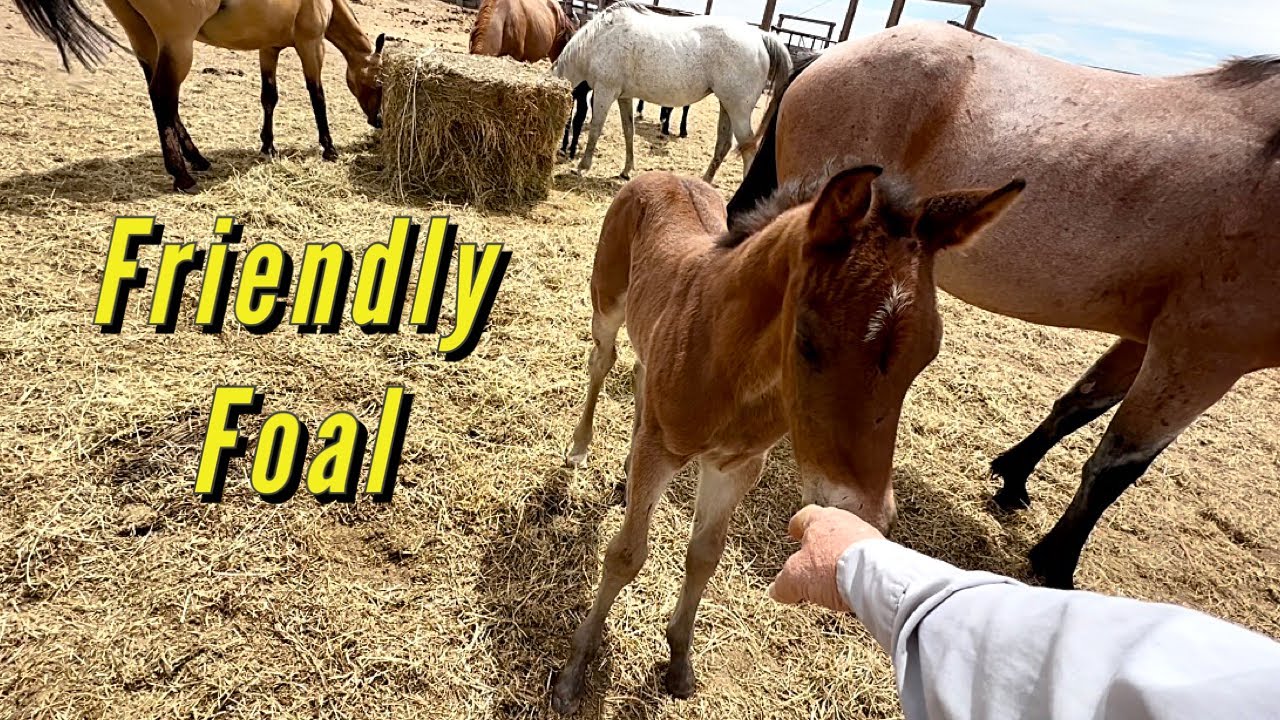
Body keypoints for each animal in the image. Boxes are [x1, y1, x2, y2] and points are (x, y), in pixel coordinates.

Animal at [16, 0, 385, 192]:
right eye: (381, 83)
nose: (379, 120)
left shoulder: (269, 48)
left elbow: (269, 96)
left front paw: (268, 146)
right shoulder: (311, 44)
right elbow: (316, 95)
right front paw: (329, 148)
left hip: (143, 36)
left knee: (160, 99)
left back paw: (197, 158)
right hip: (178, 42)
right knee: (163, 96)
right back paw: (182, 174)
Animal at [552, 1, 791, 181]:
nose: (559, 151)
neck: (598, 40)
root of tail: (760, 37)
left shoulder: (604, 91)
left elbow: (595, 129)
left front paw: (582, 166)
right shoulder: (624, 97)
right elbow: (628, 132)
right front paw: (627, 170)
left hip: (738, 111)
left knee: (748, 149)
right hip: (727, 106)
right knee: (723, 145)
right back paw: (705, 181)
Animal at [553, 165, 1023, 712]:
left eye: (928, 353)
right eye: (808, 340)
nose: (860, 511)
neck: (729, 360)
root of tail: (660, 174)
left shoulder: (736, 466)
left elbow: (705, 556)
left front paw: (679, 660)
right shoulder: (663, 449)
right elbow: (627, 555)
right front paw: (574, 672)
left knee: (638, 372)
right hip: (606, 301)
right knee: (602, 362)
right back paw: (580, 449)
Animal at [726, 22, 1280, 590]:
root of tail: (834, 53)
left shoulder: (1148, 335)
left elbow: (1081, 403)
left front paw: (1013, 477)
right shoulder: (1202, 350)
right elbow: (1117, 463)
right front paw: (1056, 561)